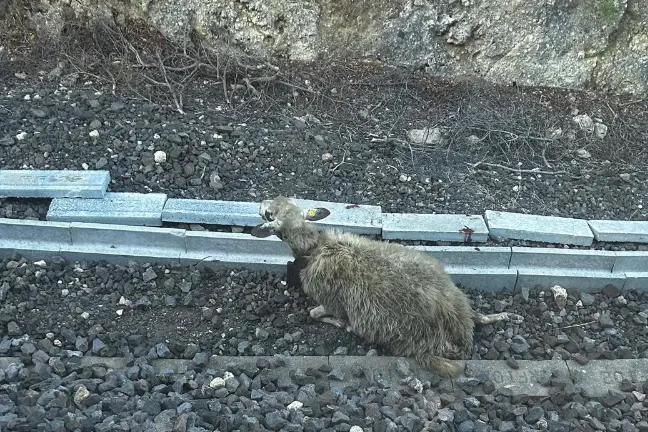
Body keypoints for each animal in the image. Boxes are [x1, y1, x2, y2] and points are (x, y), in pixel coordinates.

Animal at [250, 196, 523, 378]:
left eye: (269, 214)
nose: (261, 202)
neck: (316, 246)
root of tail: (460, 329)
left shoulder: (331, 301)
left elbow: (316, 313)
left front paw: (343, 325)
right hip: (457, 297)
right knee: (478, 315)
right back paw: (504, 316)